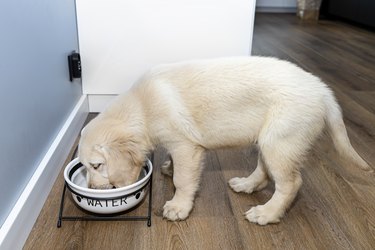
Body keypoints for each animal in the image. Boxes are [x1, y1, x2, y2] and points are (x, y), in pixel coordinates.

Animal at [78, 56, 372, 225]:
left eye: (96, 166)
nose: (91, 188)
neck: (141, 107)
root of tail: (323, 91)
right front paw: (169, 167)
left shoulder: (186, 146)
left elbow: (183, 180)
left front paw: (178, 207)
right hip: (268, 140)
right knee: (264, 171)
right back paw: (246, 185)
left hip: (281, 141)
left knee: (290, 184)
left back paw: (267, 214)